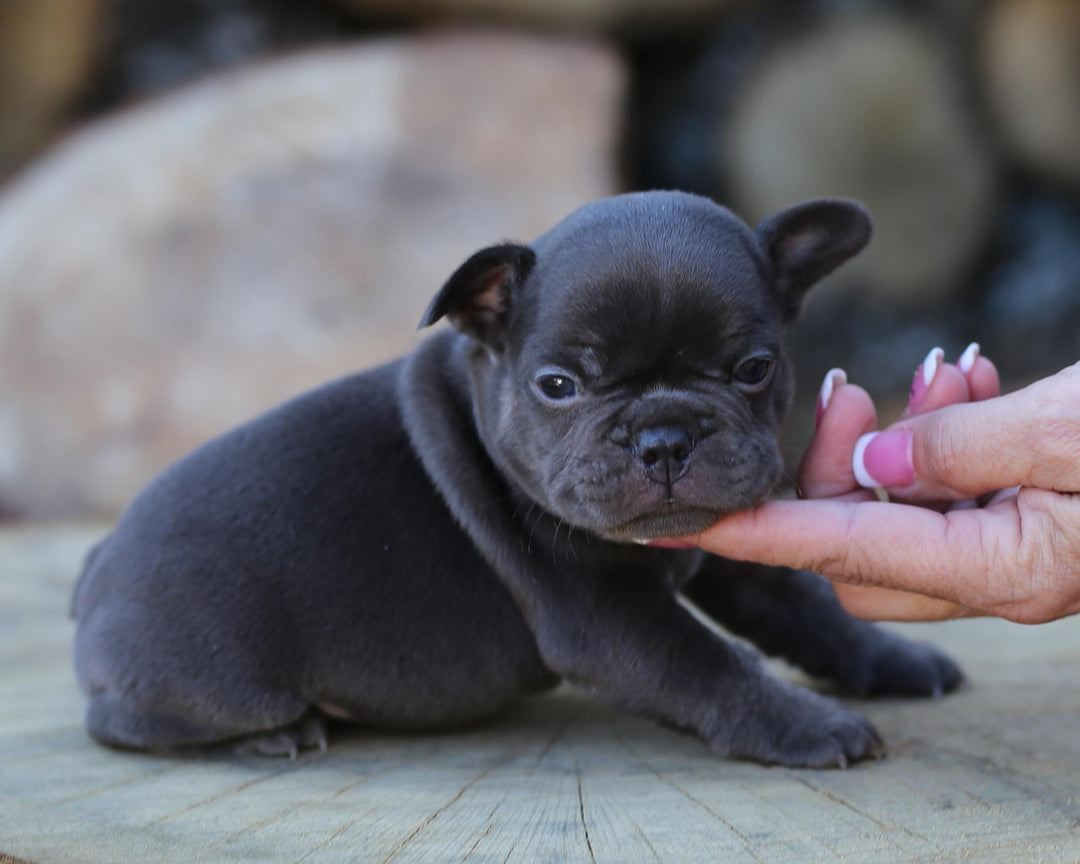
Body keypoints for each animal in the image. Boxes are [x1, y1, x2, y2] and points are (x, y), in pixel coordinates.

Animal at [71, 192, 959, 764]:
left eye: (752, 369)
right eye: (558, 385)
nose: (664, 436)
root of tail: (98, 563)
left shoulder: (735, 559)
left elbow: (811, 613)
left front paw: (896, 662)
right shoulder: (605, 619)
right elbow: (711, 664)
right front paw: (809, 727)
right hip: (204, 677)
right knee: (120, 722)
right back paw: (272, 734)